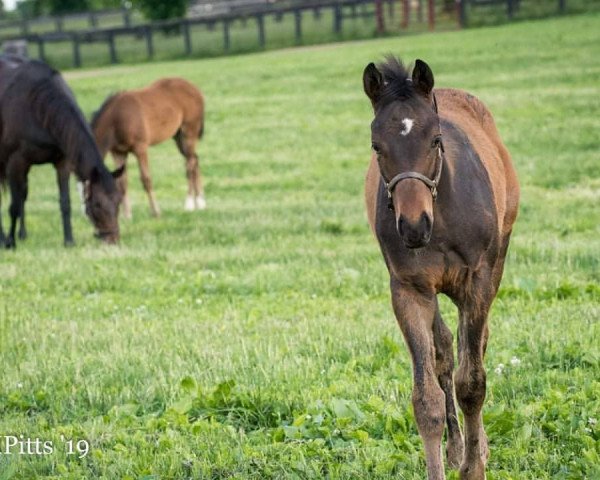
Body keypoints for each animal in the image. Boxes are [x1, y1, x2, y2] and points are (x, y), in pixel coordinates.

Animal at [0, 55, 123, 248]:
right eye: (97, 204)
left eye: (118, 201)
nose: (112, 240)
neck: (37, 107)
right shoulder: (15, 163)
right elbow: (14, 206)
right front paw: (10, 242)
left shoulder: (62, 163)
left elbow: (65, 202)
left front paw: (69, 240)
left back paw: (22, 234)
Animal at [91, 78, 206, 218]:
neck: (116, 119)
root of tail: (195, 89)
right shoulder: (118, 152)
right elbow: (122, 182)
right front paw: (127, 216)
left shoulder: (140, 148)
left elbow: (146, 179)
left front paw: (156, 212)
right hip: (178, 136)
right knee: (195, 159)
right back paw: (201, 203)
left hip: (189, 132)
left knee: (190, 164)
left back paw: (189, 204)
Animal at [364, 57, 516, 480]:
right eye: (376, 146)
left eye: (435, 139)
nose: (413, 226)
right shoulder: (410, 289)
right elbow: (426, 396)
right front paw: (451, 459)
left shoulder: (478, 281)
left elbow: (472, 383)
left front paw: (474, 467)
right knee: (445, 353)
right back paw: (456, 447)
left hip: (497, 261)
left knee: (475, 346)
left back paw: (478, 448)